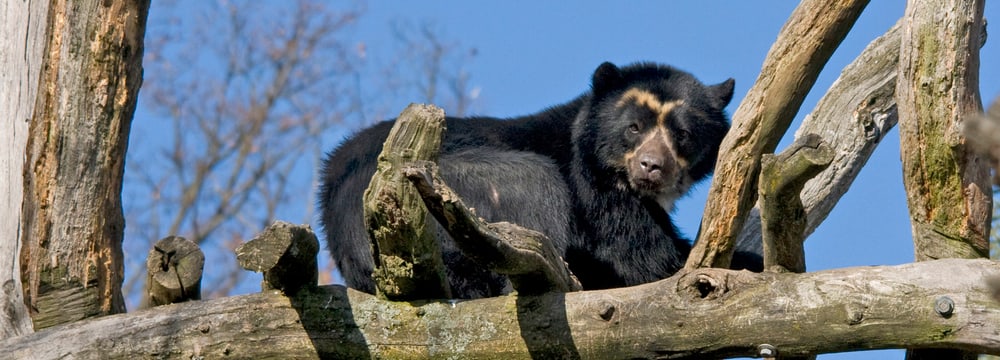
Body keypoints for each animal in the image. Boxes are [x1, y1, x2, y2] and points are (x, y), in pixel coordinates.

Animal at [318, 61, 756, 298]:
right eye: (633, 128)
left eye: (682, 134)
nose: (652, 167)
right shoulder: (594, 190)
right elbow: (649, 259)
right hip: (461, 191)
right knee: (536, 188)